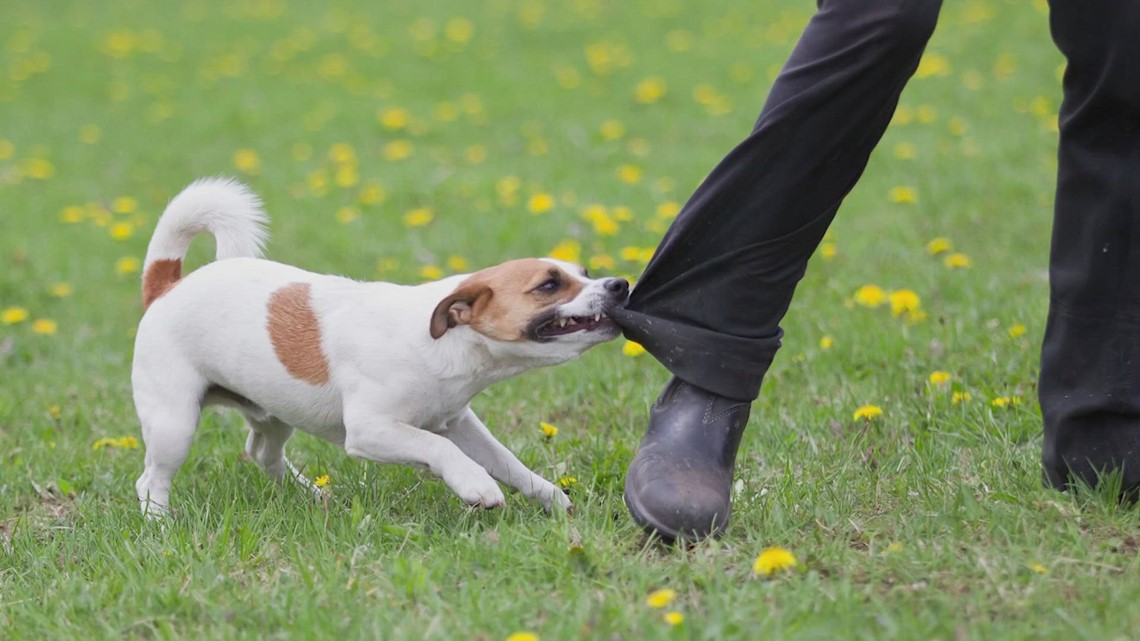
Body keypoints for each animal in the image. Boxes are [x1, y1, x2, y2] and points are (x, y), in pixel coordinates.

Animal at [133, 177, 633, 513]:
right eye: (549, 285)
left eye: (584, 272)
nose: (620, 285)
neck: (441, 344)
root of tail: (167, 286)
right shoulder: (372, 430)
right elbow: (438, 450)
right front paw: (475, 485)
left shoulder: (458, 423)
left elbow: (506, 461)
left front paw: (550, 497)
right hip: (174, 424)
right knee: (150, 479)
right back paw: (160, 524)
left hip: (274, 413)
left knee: (262, 454)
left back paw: (311, 495)